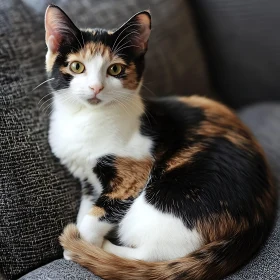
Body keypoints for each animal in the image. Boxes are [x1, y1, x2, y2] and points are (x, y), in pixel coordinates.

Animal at [44, 4, 276, 280]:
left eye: (115, 69)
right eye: (77, 67)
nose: (95, 88)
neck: (85, 118)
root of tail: (255, 222)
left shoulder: (132, 176)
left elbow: (95, 216)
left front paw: (80, 243)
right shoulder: (88, 181)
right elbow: (86, 209)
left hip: (162, 197)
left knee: (153, 255)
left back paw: (101, 250)